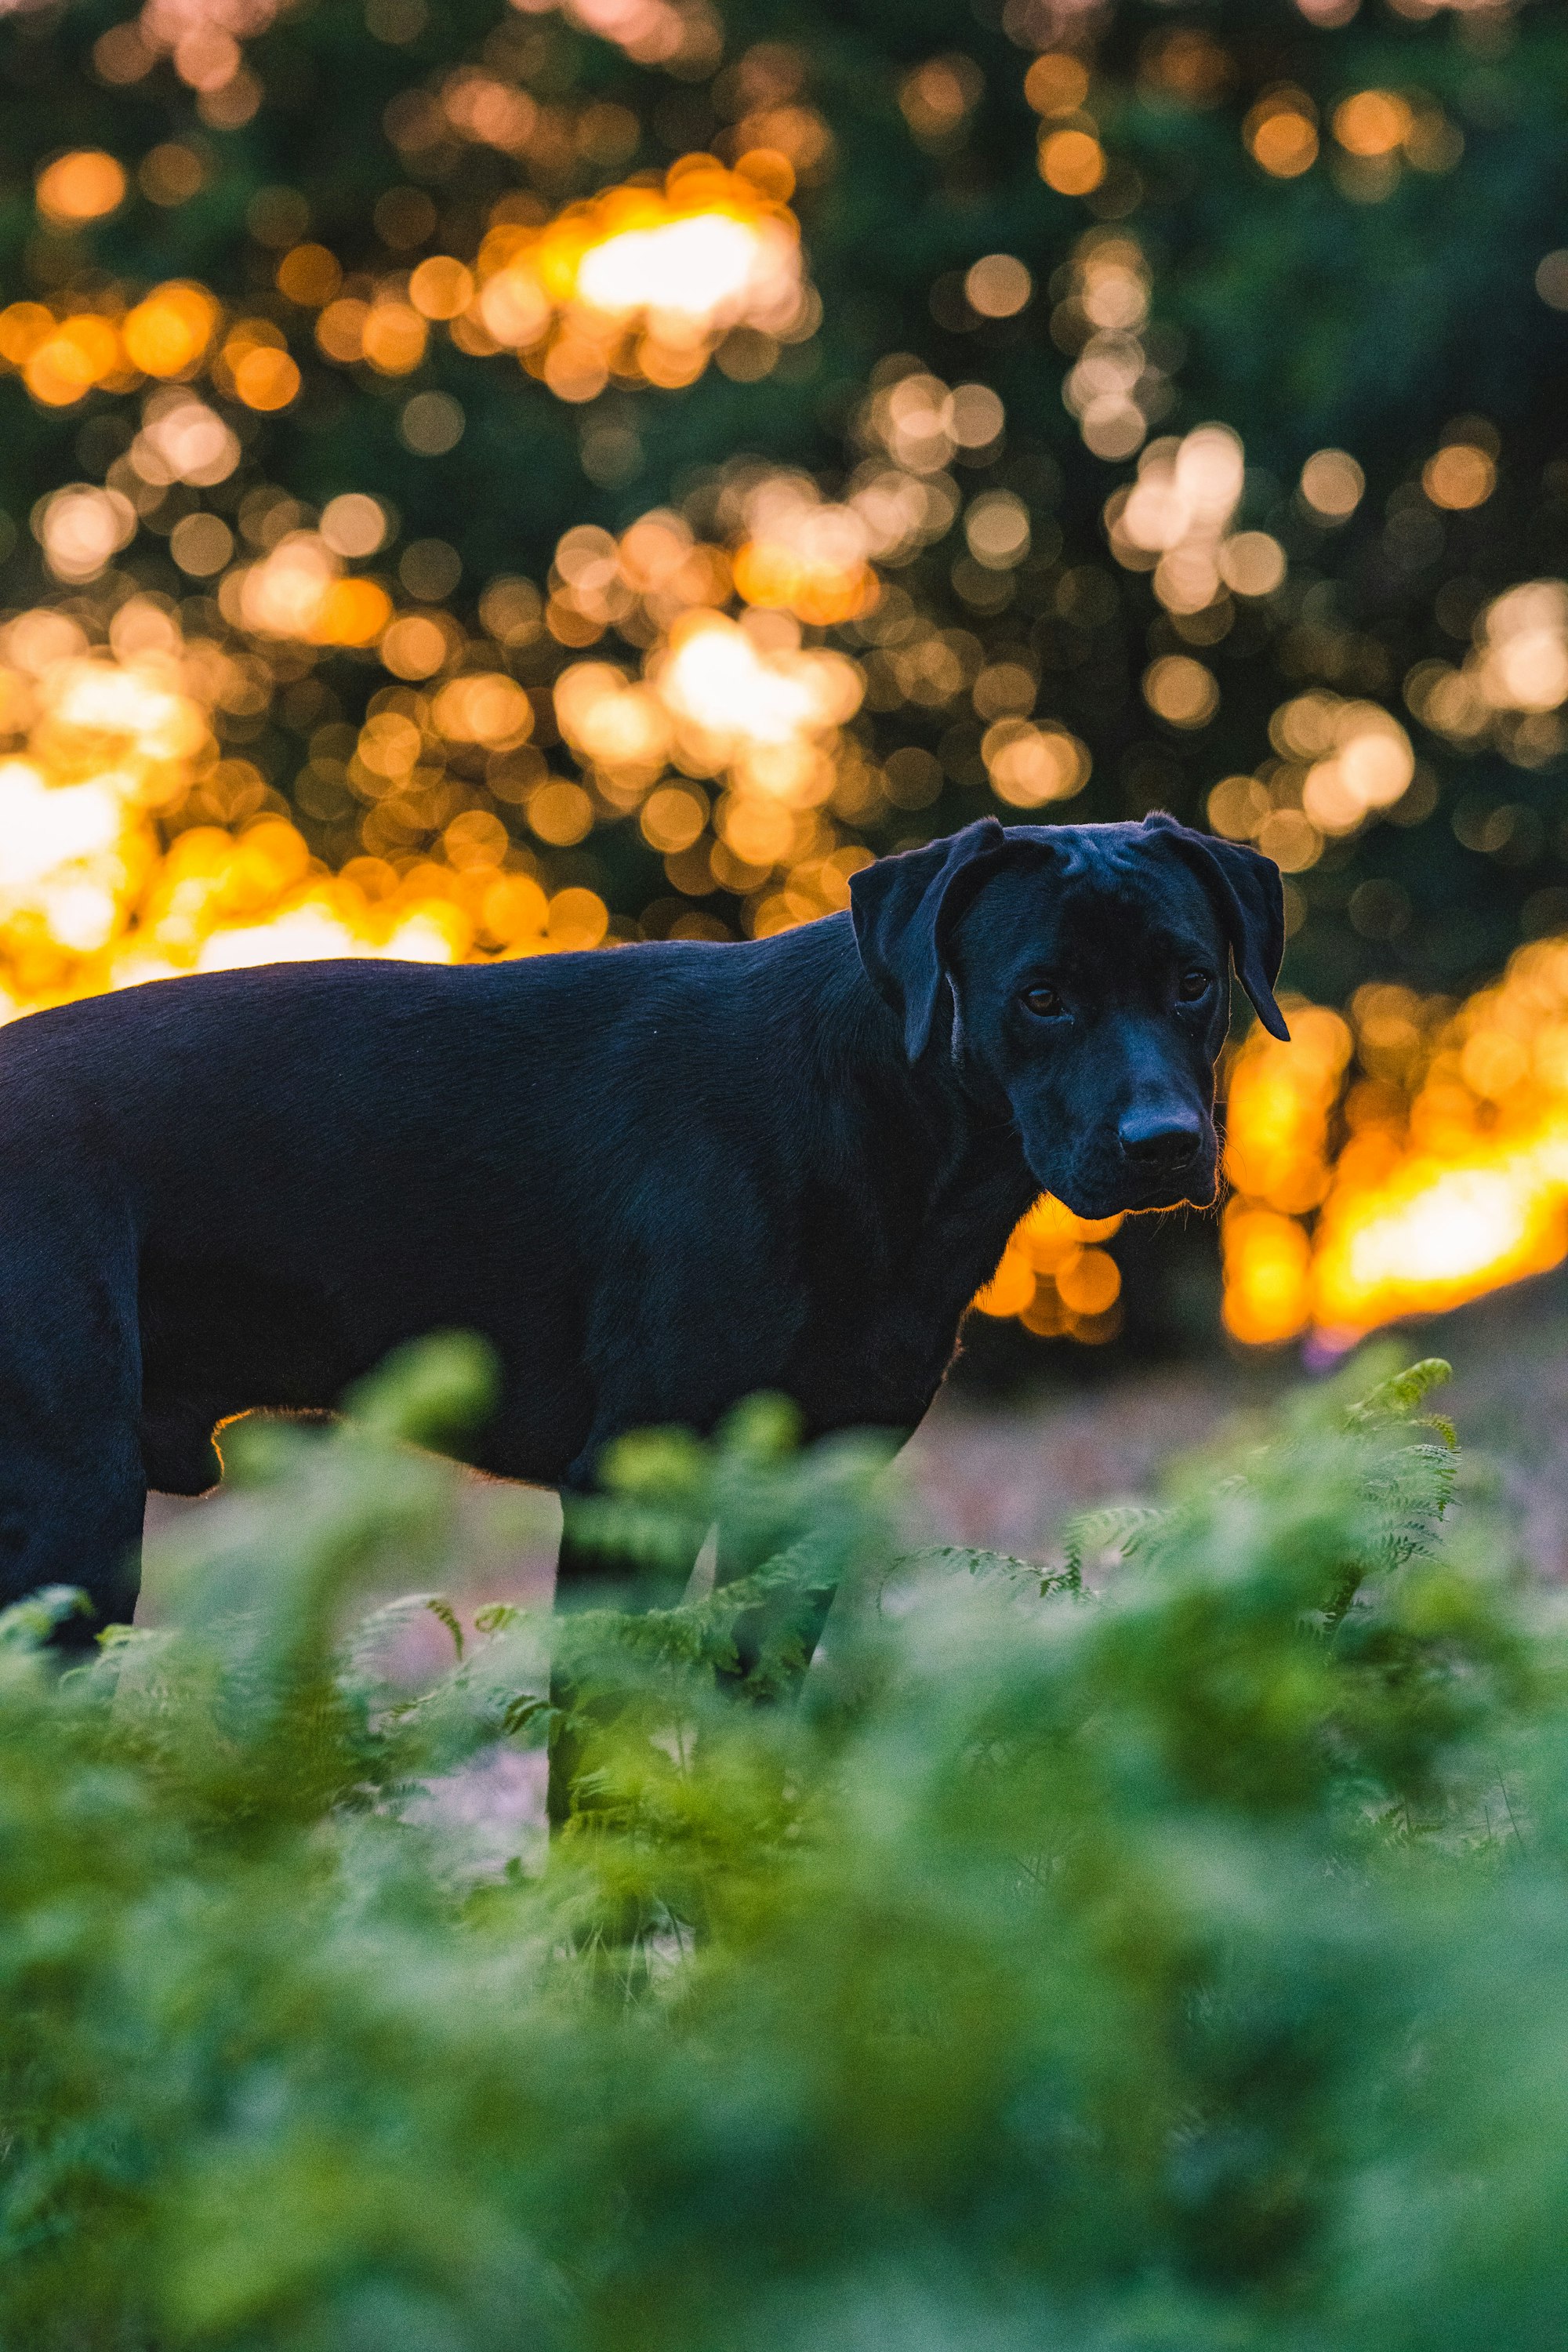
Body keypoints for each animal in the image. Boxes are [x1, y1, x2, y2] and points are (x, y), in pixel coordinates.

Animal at [0, 818, 1279, 1646]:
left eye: (1192, 981)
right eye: (1040, 997)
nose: (1163, 1144)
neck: (875, 1119)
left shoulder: (809, 1491)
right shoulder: (628, 1486)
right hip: (73, 1519)